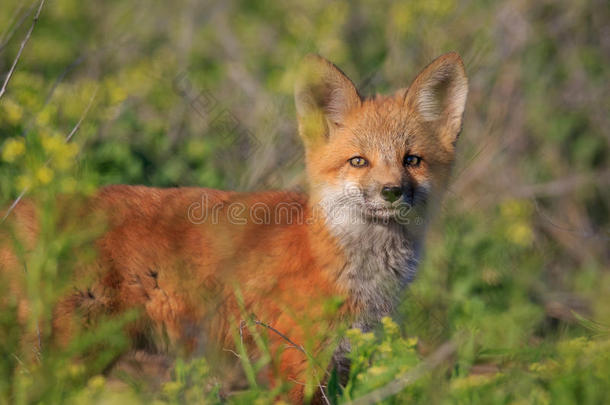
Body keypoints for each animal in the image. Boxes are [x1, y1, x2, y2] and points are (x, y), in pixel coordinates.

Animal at [1, 52, 466, 402]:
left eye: (412, 160)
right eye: (359, 161)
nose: (391, 192)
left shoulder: (343, 359)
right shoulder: (295, 362)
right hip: (70, 356)